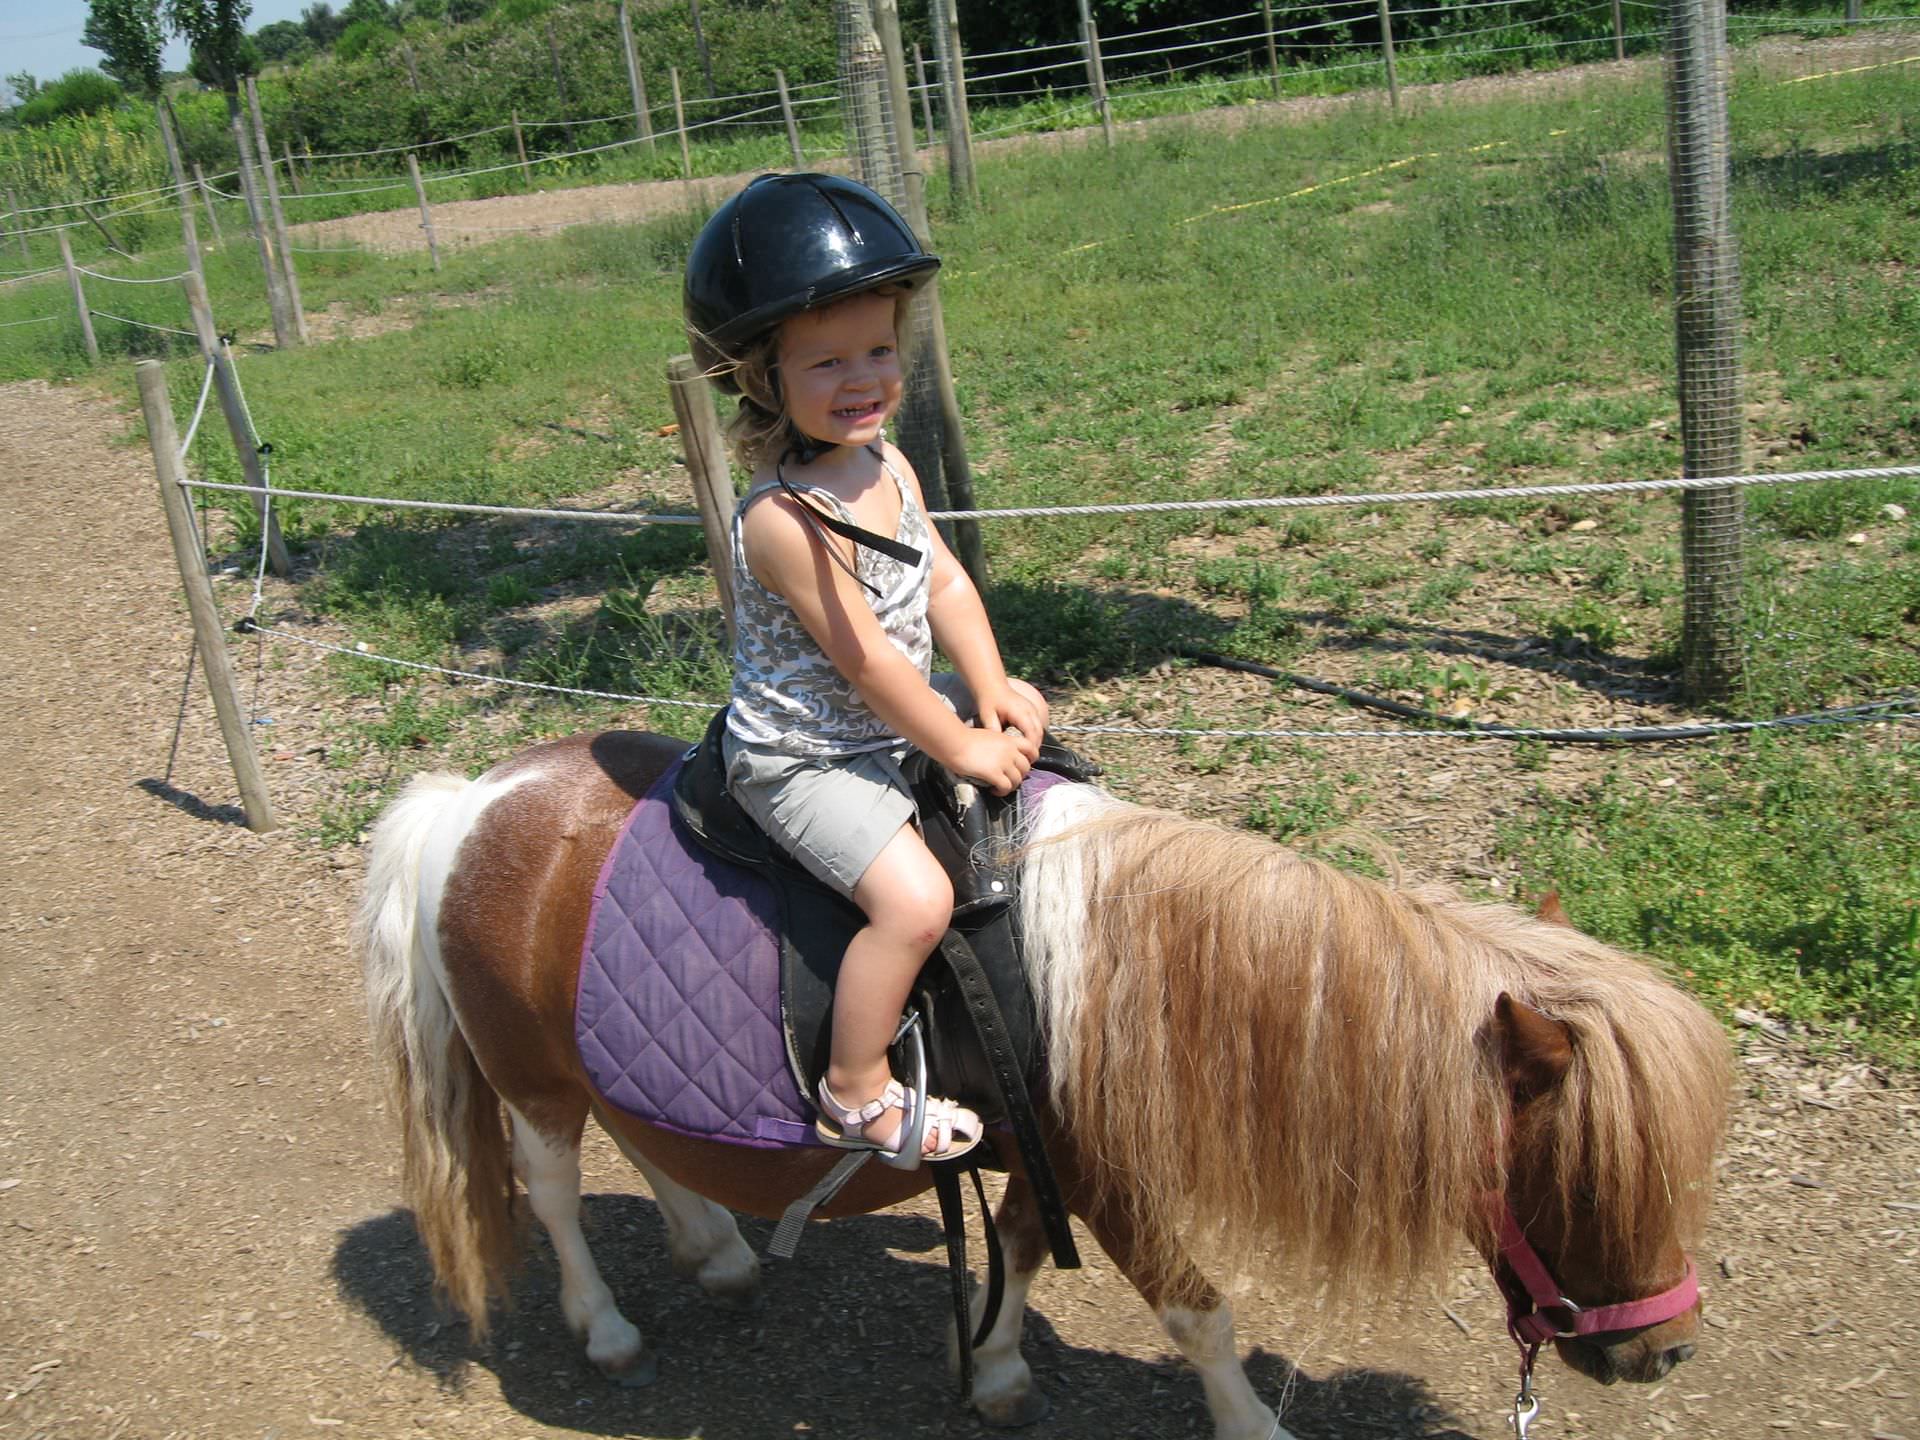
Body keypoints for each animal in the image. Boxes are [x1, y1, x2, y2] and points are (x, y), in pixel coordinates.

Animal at [353, 733, 1735, 1440]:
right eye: (1585, 1176)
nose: (1666, 1353)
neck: (1121, 967)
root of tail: (467, 801)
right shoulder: (1111, 1180)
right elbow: (1198, 1313)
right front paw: (1255, 1428)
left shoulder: (1042, 1155)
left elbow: (1015, 1250)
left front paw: (1001, 1374)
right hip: (530, 1075)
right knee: (551, 1189)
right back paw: (608, 1329)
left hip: (602, 1055)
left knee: (647, 1143)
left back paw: (719, 1251)